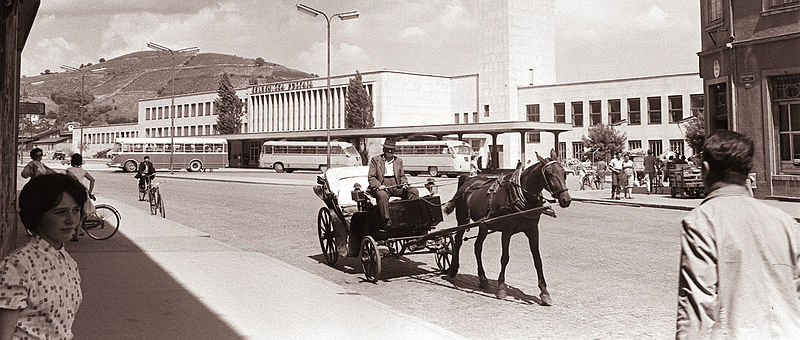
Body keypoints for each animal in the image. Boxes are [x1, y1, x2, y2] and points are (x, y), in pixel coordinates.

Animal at [440, 149, 572, 306]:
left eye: (564, 173)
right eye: (550, 174)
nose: (566, 200)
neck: (523, 196)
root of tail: (468, 180)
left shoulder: (533, 230)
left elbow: (537, 259)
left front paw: (544, 292)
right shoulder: (507, 231)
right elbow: (505, 258)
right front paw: (501, 288)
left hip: (483, 224)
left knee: (478, 247)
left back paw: (482, 278)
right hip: (462, 219)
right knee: (458, 241)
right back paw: (453, 269)